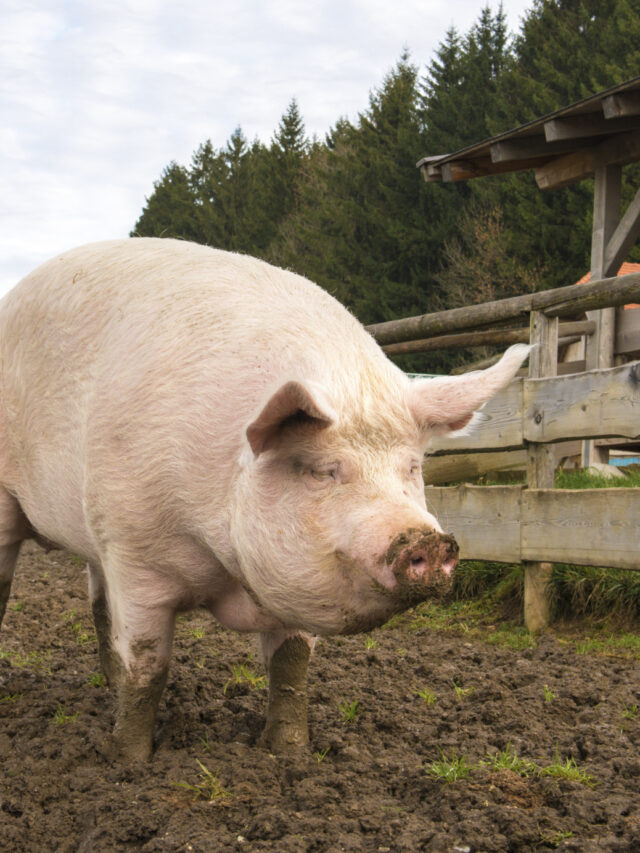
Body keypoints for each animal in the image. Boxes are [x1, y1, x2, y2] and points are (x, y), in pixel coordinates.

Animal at [0, 238, 528, 760]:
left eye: (412, 468)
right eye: (322, 471)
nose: (427, 540)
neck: (224, 567)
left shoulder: (300, 589)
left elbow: (291, 665)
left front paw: (288, 753)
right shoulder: (133, 550)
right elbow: (148, 667)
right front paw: (127, 760)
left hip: (93, 533)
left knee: (97, 599)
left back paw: (106, 685)